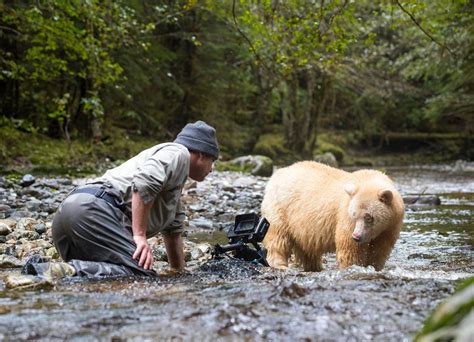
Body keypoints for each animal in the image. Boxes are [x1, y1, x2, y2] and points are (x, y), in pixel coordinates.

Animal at [262, 162, 406, 272]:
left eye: (369, 217)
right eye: (354, 215)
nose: (356, 236)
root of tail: (277, 174)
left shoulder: (390, 227)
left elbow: (379, 251)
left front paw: (374, 267)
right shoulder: (346, 218)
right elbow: (350, 250)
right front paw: (353, 267)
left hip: (302, 225)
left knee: (307, 248)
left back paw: (315, 267)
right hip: (281, 209)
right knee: (278, 238)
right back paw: (280, 265)